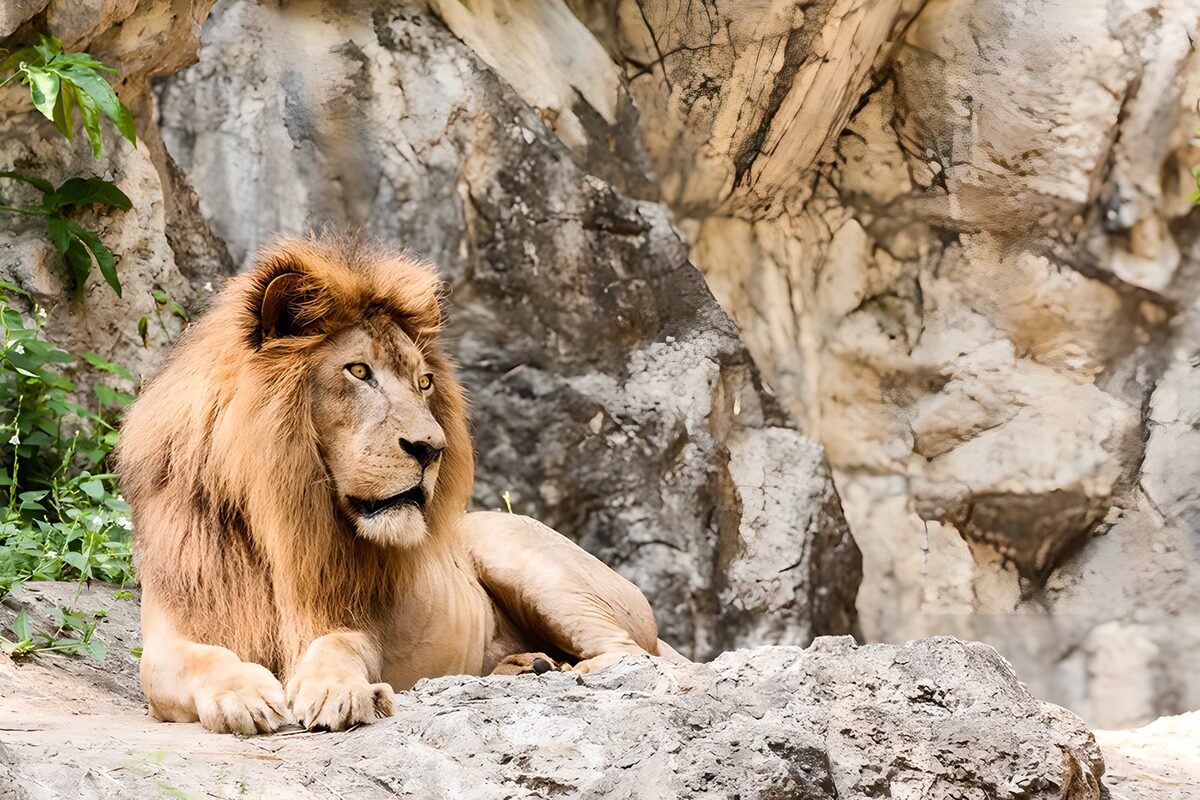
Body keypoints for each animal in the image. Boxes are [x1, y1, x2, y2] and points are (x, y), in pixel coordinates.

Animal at [116, 236, 683, 735]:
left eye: (423, 382)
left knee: (638, 657)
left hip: (518, 552)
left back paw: (570, 672)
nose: (432, 448)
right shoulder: (168, 634)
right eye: (358, 370)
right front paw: (244, 695)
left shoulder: (349, 619)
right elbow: (197, 660)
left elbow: (339, 647)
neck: (274, 513)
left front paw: (340, 692)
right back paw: (528, 666)